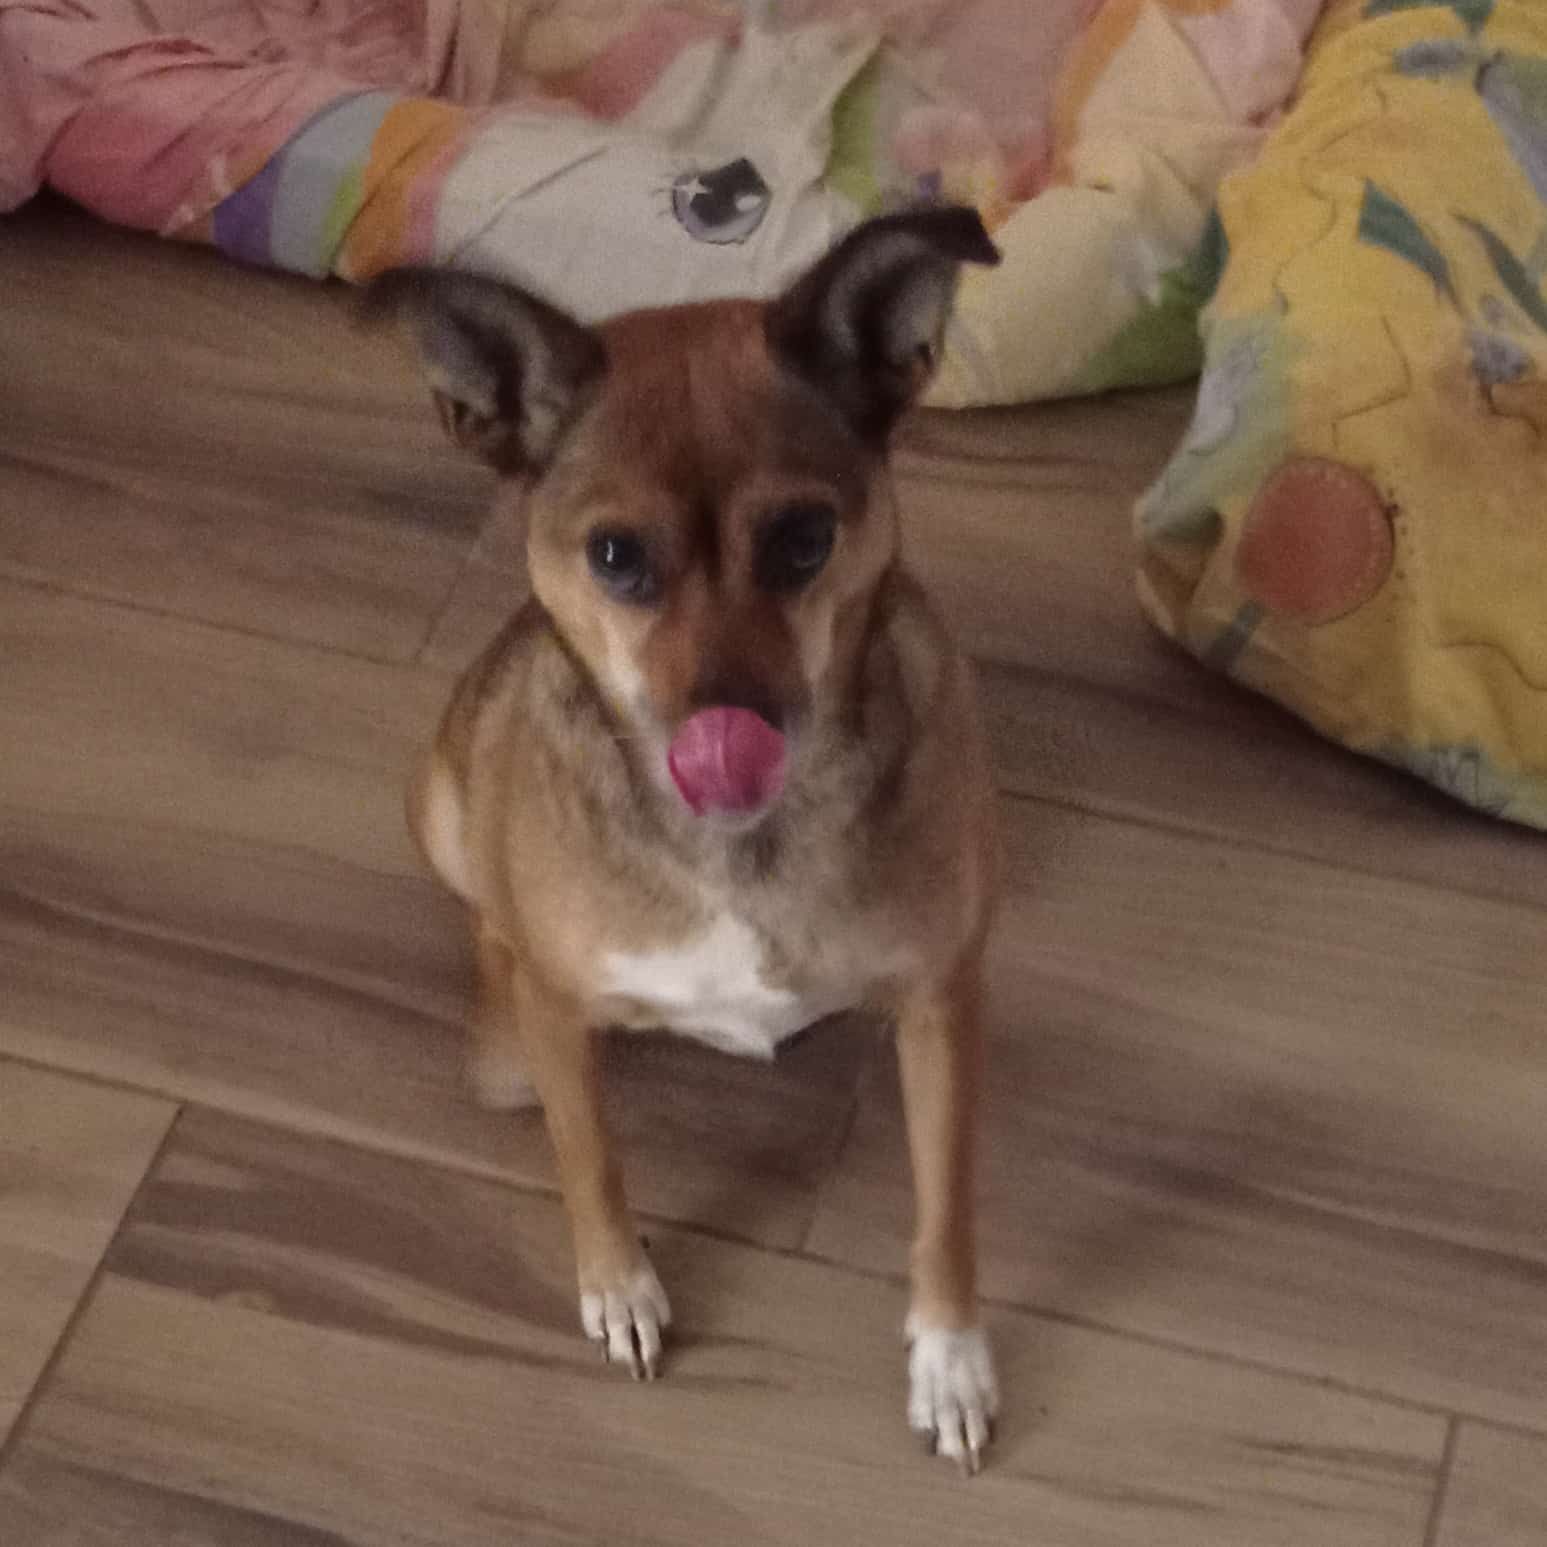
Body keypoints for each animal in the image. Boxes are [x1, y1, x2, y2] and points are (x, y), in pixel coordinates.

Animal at [374, 207, 1002, 1472]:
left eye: (805, 536)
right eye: (616, 557)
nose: (729, 729)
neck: (742, 844)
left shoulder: (940, 1003)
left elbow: (944, 1200)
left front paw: (949, 1357)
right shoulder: (564, 1023)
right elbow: (590, 1158)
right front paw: (620, 1286)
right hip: (446, 809)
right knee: (492, 940)